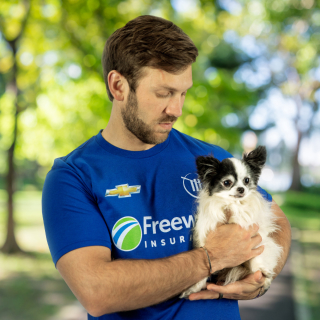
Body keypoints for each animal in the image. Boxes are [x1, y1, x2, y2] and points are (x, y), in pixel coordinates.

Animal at [180, 146, 282, 298]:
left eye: (246, 180)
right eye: (227, 183)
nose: (241, 189)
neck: (234, 204)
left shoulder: (257, 235)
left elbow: (256, 255)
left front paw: (261, 270)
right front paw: (195, 286)